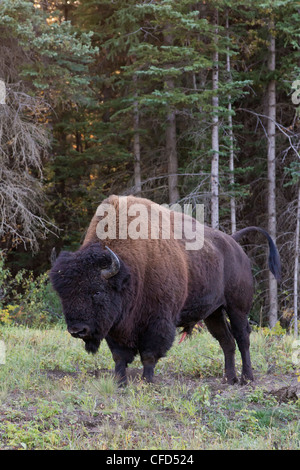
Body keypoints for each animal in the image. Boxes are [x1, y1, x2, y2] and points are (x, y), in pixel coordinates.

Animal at [49, 195, 282, 386]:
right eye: (63, 294)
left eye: (96, 291)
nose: (77, 330)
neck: (129, 270)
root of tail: (233, 243)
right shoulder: (117, 326)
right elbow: (120, 356)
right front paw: (120, 383)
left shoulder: (157, 321)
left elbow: (149, 354)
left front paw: (147, 382)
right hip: (213, 313)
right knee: (226, 341)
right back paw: (229, 379)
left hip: (237, 308)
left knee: (242, 338)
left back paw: (247, 378)